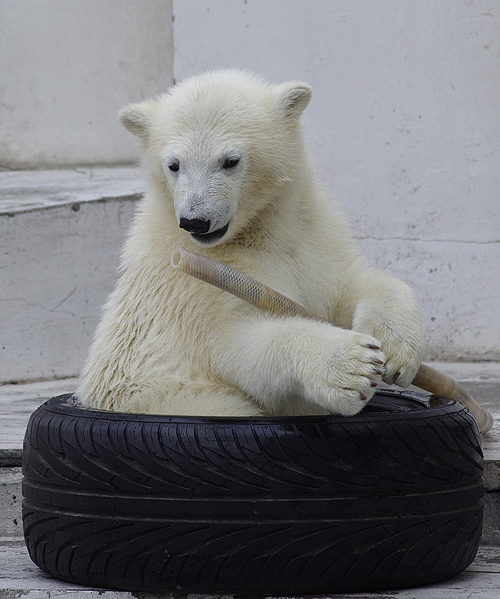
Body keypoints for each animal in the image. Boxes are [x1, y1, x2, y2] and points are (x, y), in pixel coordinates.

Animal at [77, 69, 422, 418]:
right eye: (174, 164)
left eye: (230, 161)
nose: (194, 221)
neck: (259, 229)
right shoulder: (195, 285)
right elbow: (238, 345)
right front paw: (353, 368)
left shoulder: (313, 235)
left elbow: (350, 285)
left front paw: (394, 349)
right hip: (185, 399)